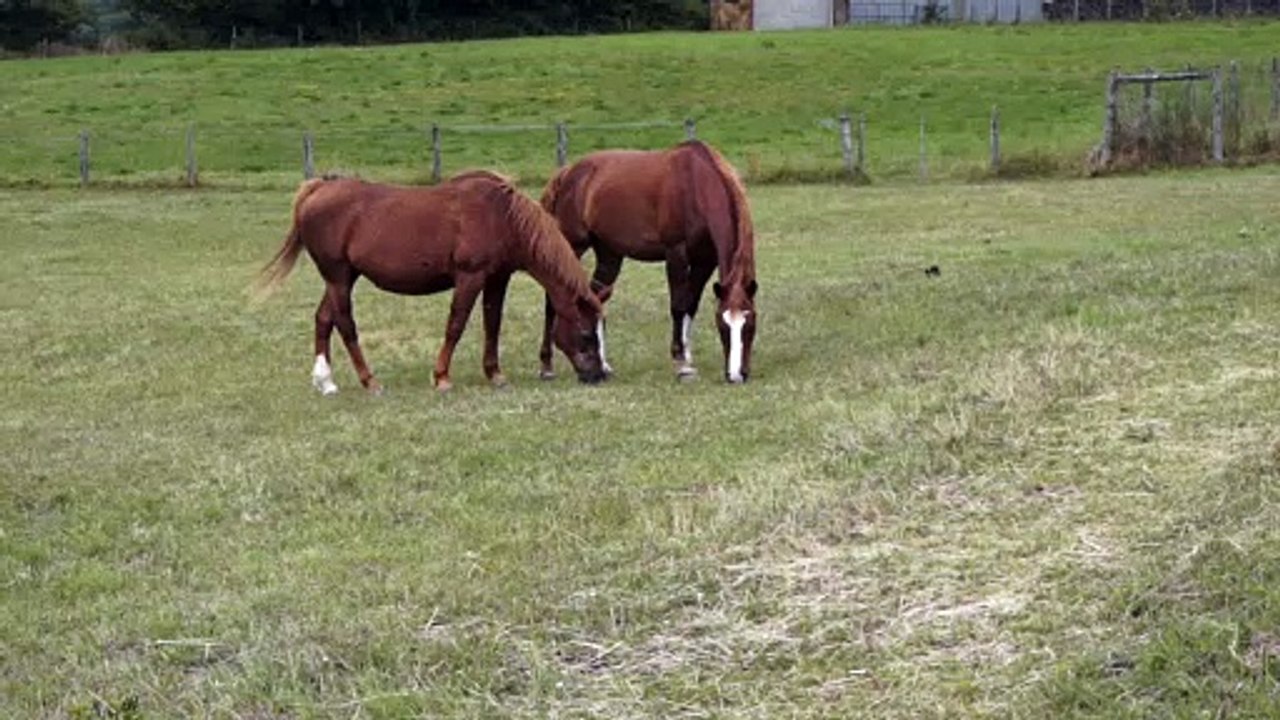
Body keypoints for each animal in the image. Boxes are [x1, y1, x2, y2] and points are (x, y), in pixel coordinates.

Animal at [258, 171, 608, 395]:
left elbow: (492, 323)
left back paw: (326, 382)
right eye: (585, 334)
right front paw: (441, 377)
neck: (501, 215)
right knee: (345, 323)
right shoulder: (470, 277)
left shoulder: (497, 278)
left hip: (342, 277)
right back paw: (369, 381)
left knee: (323, 319)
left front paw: (495, 374)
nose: (599, 375)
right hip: (339, 276)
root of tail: (318, 189)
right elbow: (456, 325)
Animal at [538, 140, 758, 383]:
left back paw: (603, 365)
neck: (695, 184)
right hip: (572, 245)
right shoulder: (676, 253)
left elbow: (691, 304)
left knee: (595, 298)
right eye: (723, 324)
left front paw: (687, 355)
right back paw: (546, 367)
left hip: (609, 254)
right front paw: (681, 363)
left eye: (750, 324)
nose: (737, 375)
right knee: (552, 300)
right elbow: (678, 305)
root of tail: (568, 172)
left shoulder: (705, 262)